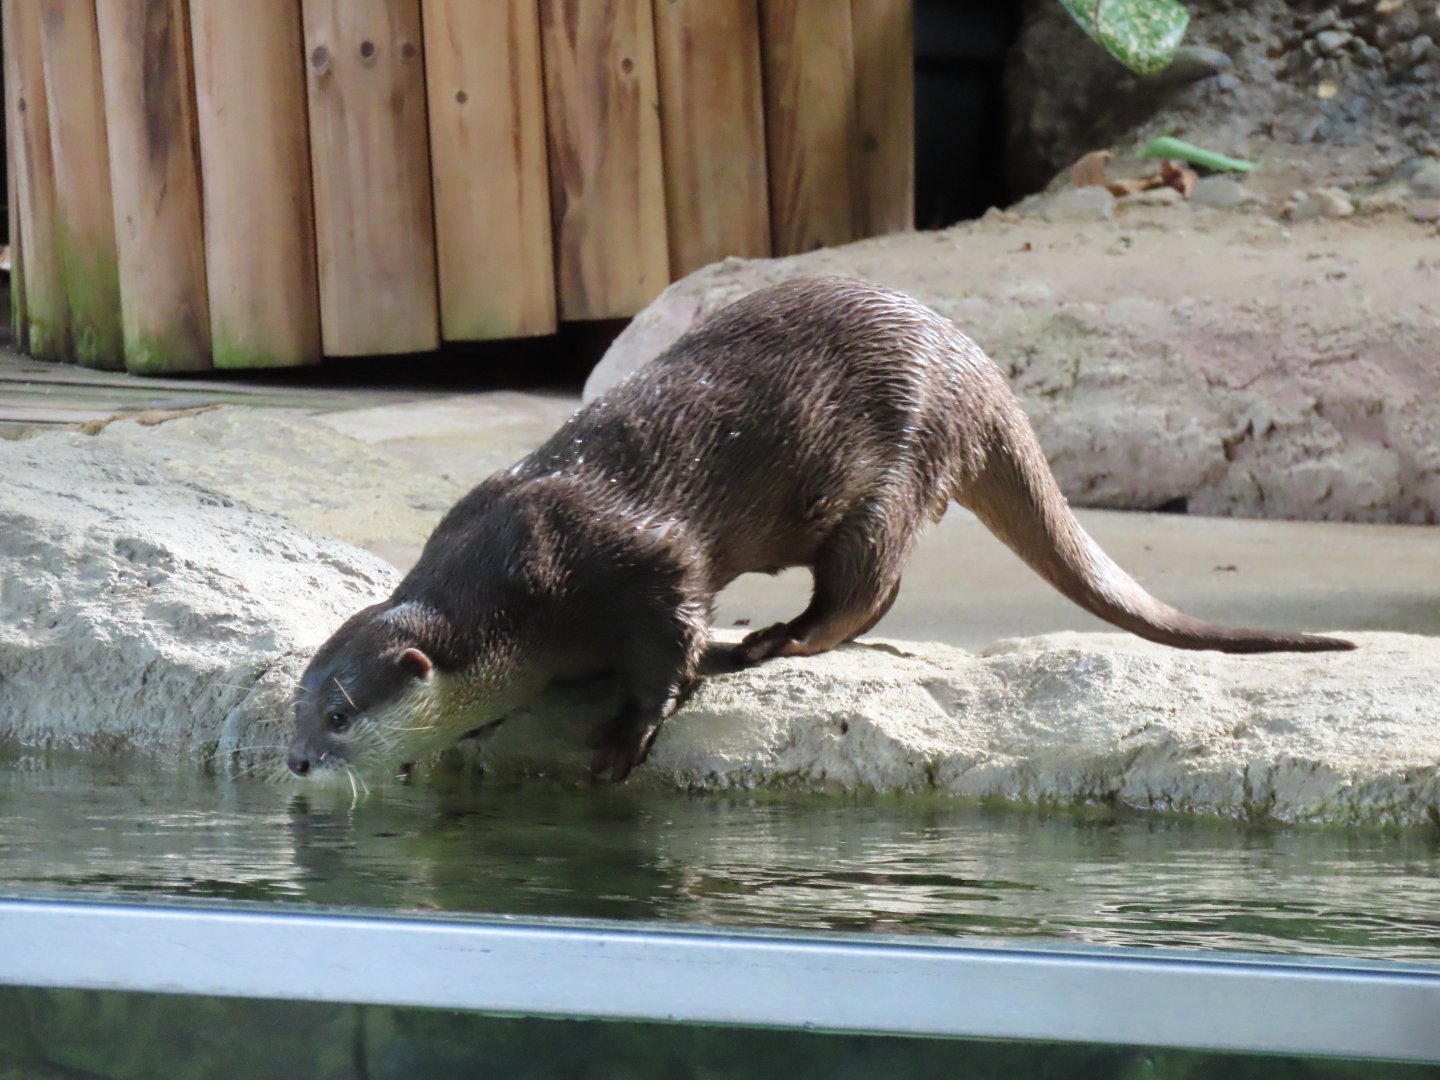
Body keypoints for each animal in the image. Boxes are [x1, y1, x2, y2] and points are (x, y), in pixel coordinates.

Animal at [287, 277, 1353, 783]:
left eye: (340, 717)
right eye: (296, 708)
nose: (294, 761)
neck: (519, 590)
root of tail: (975, 365)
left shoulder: (637, 562)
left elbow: (671, 644)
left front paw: (628, 733)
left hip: (890, 474)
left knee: (868, 588)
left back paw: (772, 642)